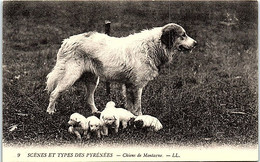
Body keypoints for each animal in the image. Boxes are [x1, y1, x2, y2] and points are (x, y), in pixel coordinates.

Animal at [46, 23, 197, 116]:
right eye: (183, 35)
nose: (195, 43)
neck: (153, 46)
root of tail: (67, 41)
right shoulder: (136, 86)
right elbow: (137, 106)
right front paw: (140, 118)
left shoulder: (129, 85)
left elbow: (131, 105)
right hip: (70, 76)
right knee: (54, 93)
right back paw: (50, 112)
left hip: (92, 80)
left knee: (89, 98)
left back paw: (96, 112)